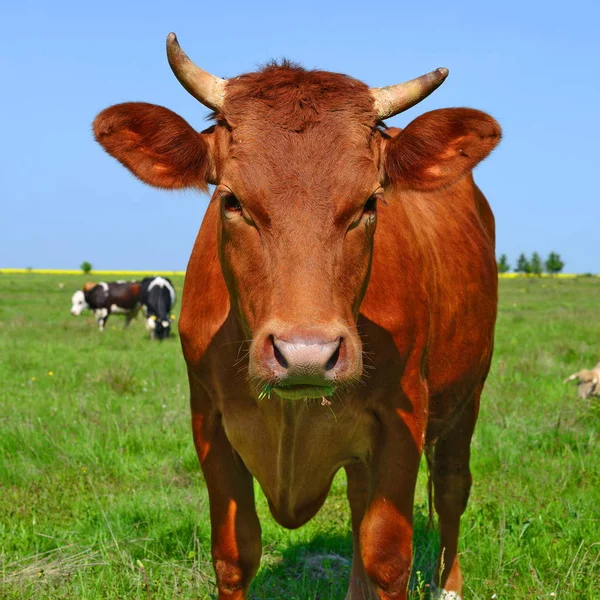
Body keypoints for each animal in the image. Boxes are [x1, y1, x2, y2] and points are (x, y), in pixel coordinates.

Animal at [94, 34, 502, 600]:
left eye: (370, 202)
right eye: (231, 201)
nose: (306, 356)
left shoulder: (403, 419)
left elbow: (388, 557)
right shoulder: (208, 423)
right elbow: (235, 554)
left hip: (469, 393)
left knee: (451, 486)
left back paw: (449, 585)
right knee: (360, 505)